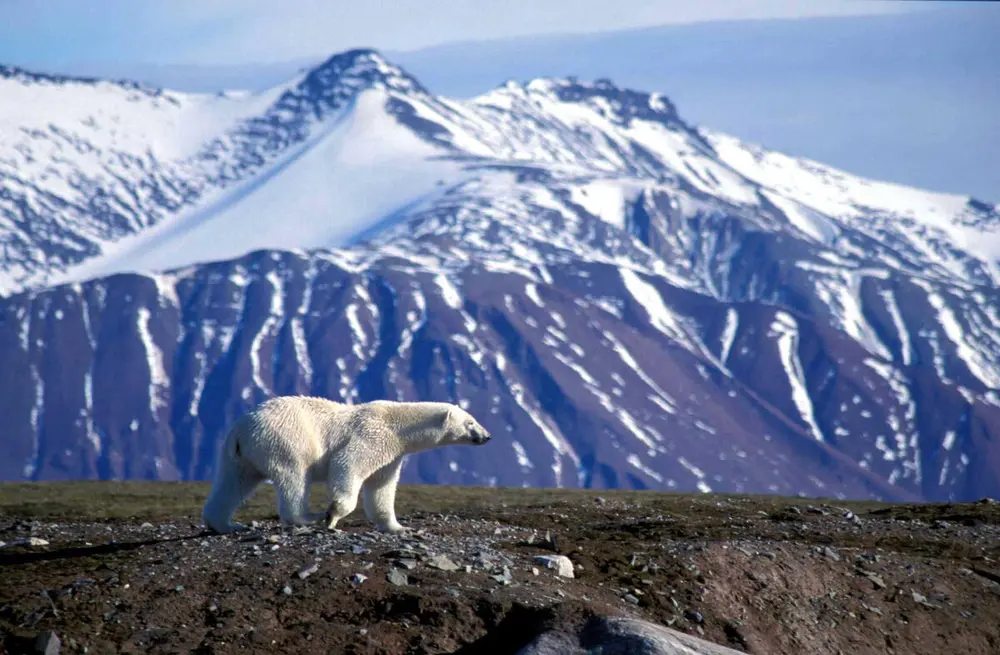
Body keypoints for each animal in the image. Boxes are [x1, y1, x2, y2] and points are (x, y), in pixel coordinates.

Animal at [202, 398, 492, 536]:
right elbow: (348, 464)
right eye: (470, 422)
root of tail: (240, 429)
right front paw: (332, 515)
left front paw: (397, 527)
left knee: (234, 483)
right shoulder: (373, 435)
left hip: (239, 456)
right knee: (294, 477)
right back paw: (308, 517)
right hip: (285, 440)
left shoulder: (391, 454)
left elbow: (381, 487)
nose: (487, 436)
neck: (398, 425)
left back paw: (226, 524)